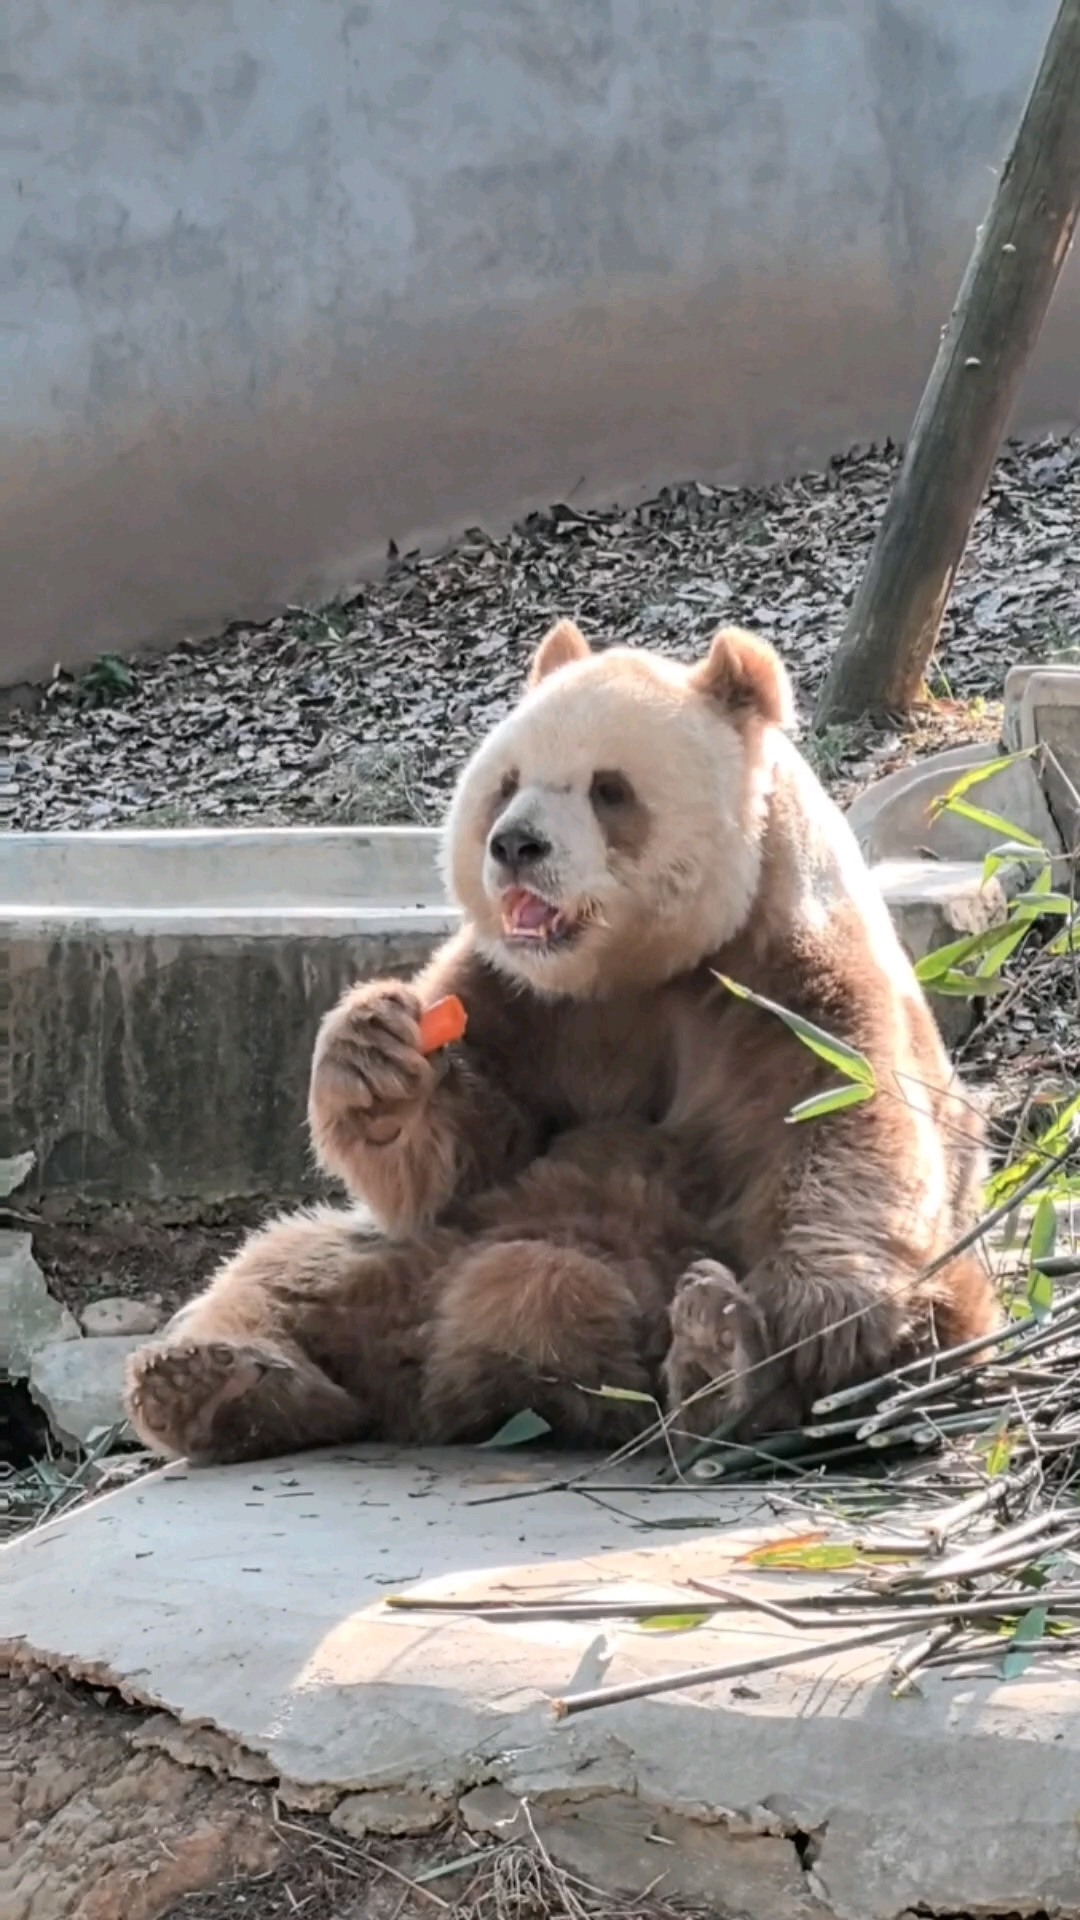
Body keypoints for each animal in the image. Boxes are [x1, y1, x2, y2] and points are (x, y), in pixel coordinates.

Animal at [124, 620, 998, 1466]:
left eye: (609, 790)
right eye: (507, 785)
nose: (516, 846)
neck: (635, 968)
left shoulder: (785, 971)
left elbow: (843, 1113)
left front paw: (828, 1311)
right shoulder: (522, 999)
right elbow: (464, 1149)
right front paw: (376, 1058)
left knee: (924, 1328)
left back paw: (724, 1365)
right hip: (420, 1254)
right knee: (281, 1271)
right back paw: (216, 1383)